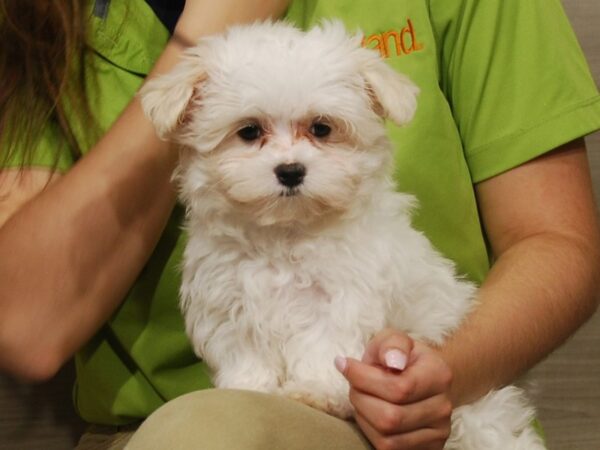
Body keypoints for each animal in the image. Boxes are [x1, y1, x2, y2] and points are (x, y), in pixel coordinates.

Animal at [143, 21, 548, 450]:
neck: (285, 233)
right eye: (249, 131)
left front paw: (315, 392)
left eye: (322, 128)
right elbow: (245, 352)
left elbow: (324, 346)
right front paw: (248, 388)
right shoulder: (229, 301)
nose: (291, 171)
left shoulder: (340, 299)